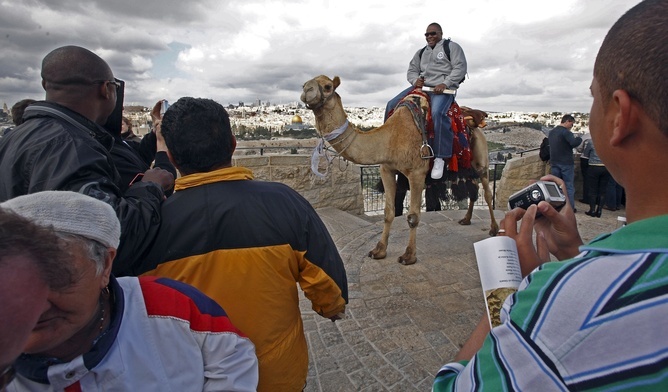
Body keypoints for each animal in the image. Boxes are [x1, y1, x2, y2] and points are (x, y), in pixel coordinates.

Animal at [302, 75, 496, 264]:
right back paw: (466, 219)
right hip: (467, 165)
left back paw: (494, 229)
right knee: (473, 189)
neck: (391, 136)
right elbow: (389, 212)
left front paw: (409, 256)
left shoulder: (417, 173)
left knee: (486, 192)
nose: (306, 90)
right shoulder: (387, 170)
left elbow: (413, 216)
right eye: (305, 84)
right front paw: (379, 250)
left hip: (481, 158)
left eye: (328, 86)